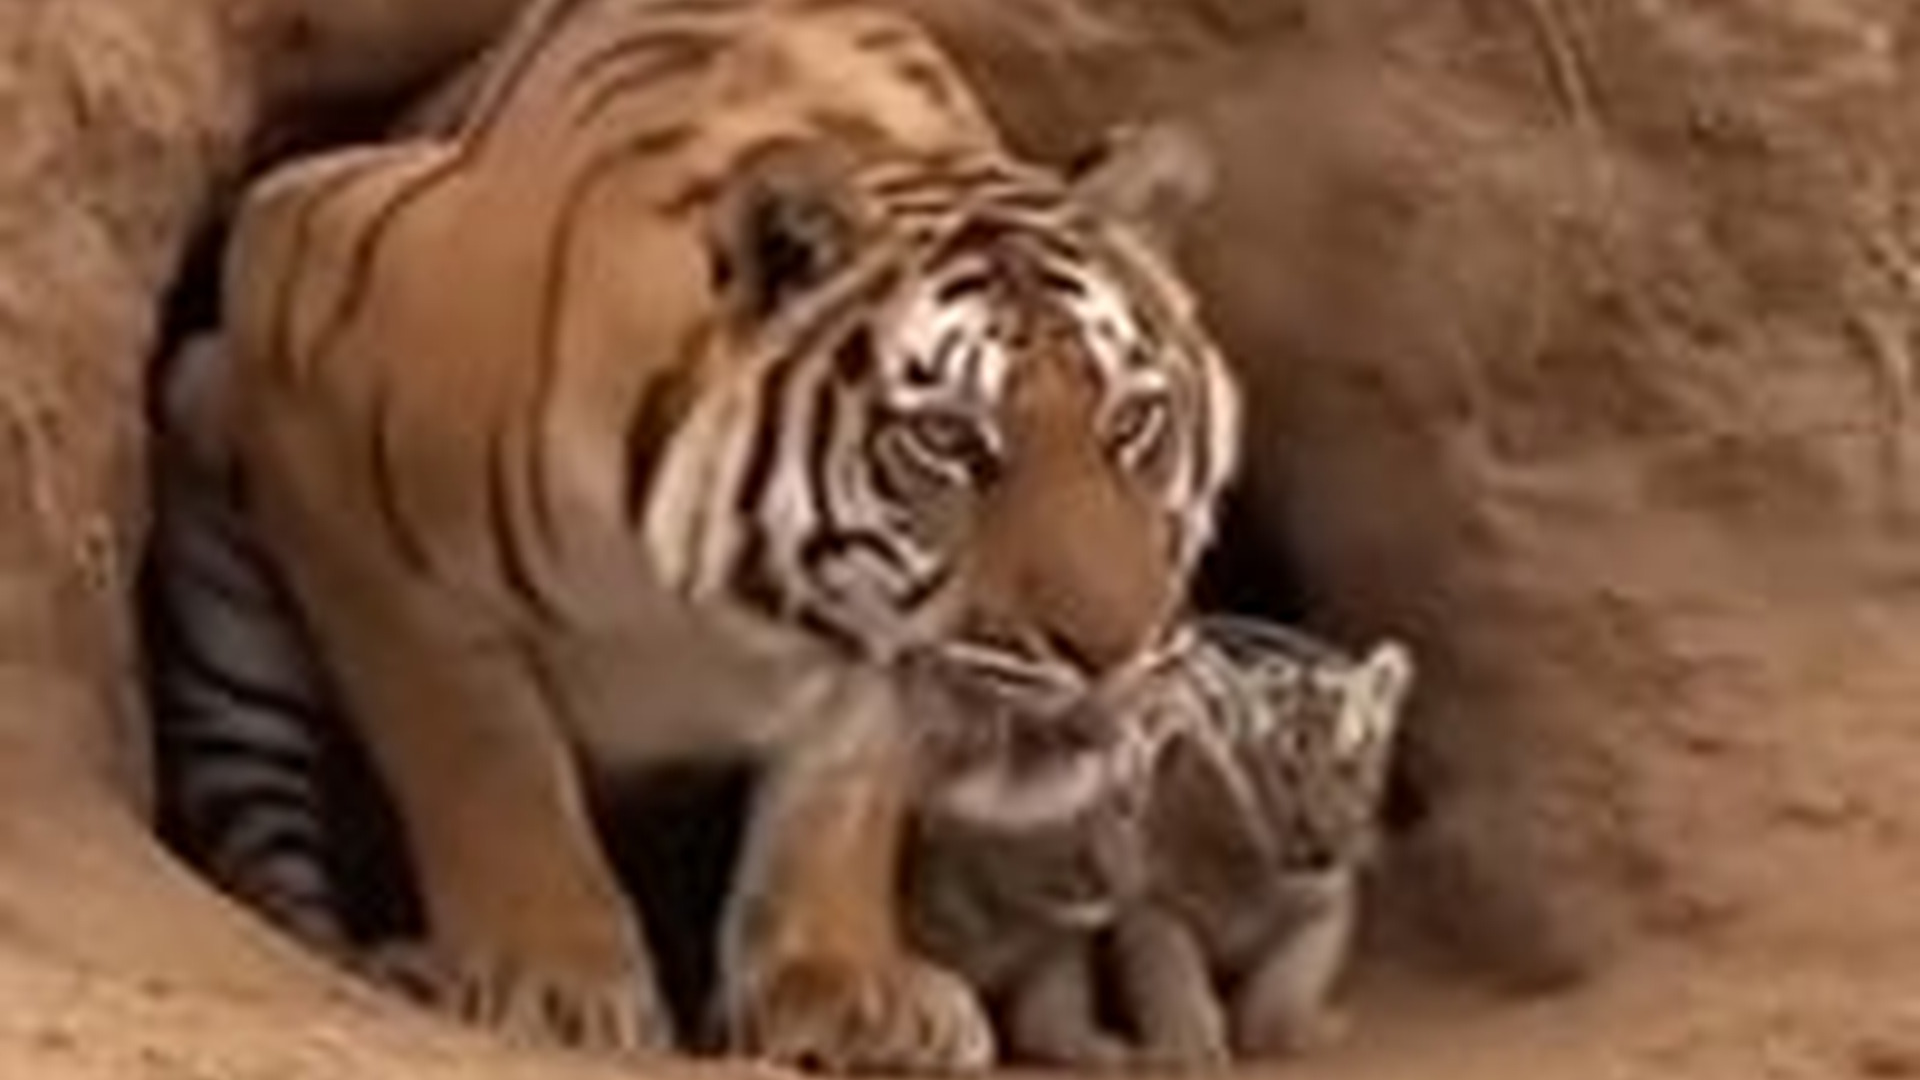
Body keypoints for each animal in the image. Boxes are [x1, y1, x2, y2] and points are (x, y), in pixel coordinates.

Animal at [151, 0, 1241, 1069]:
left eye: (1132, 423)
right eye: (947, 440)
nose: (1112, 652)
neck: (737, 605)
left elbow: (840, 795)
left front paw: (839, 985)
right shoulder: (304, 299)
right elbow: (479, 754)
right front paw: (550, 977)